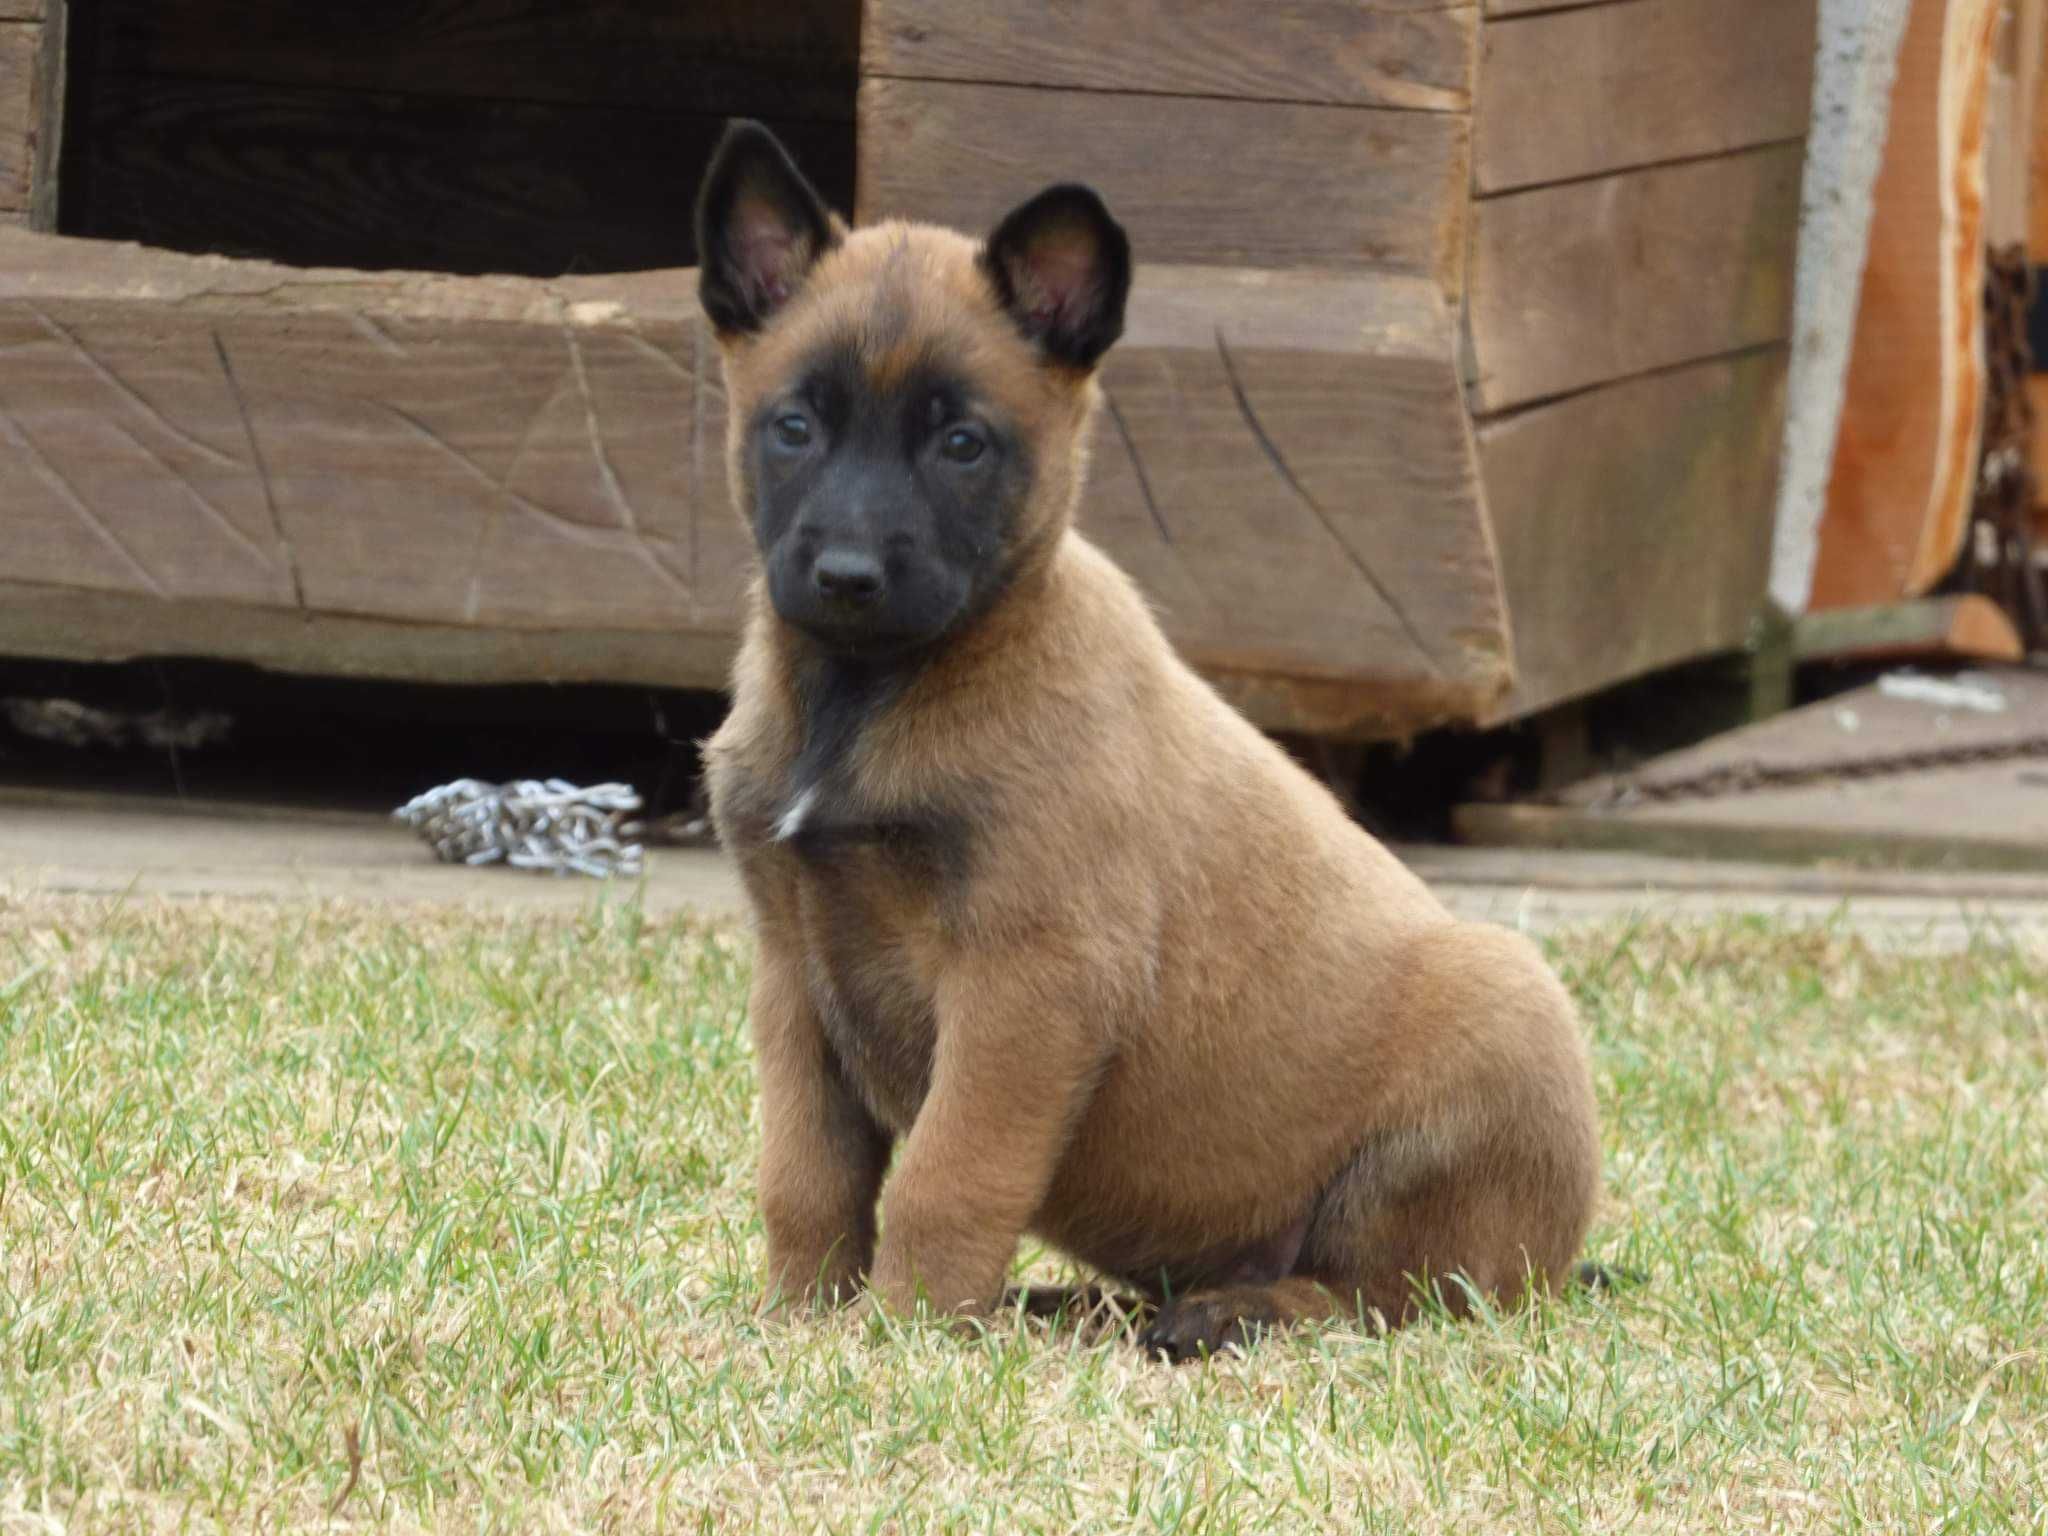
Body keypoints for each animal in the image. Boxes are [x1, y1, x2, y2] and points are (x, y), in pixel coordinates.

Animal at [696, 126, 1605, 1368]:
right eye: (793, 428)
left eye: (961, 444)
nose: (844, 577)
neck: (864, 697)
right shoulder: (793, 974)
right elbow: (804, 1179)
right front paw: (796, 1324)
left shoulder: (1031, 981)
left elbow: (947, 1176)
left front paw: (904, 1334)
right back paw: (1066, 1303)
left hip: (1496, 1024)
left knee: (1390, 1295)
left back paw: (1229, 1312)